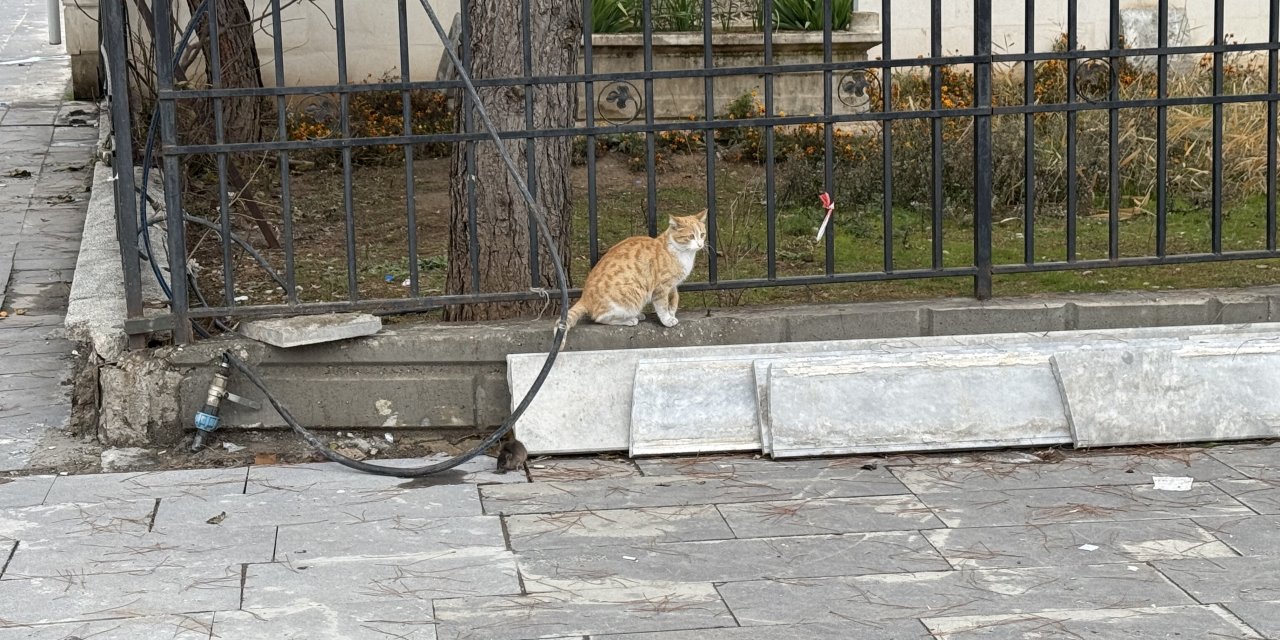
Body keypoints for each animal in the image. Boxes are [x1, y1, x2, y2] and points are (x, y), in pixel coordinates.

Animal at [565, 209, 711, 330]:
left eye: (702, 234)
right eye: (691, 236)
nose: (700, 244)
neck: (681, 253)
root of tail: (584, 297)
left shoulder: (673, 285)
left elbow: (674, 300)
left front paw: (672, 313)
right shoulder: (661, 288)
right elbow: (662, 306)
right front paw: (667, 320)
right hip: (634, 294)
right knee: (599, 318)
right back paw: (629, 320)